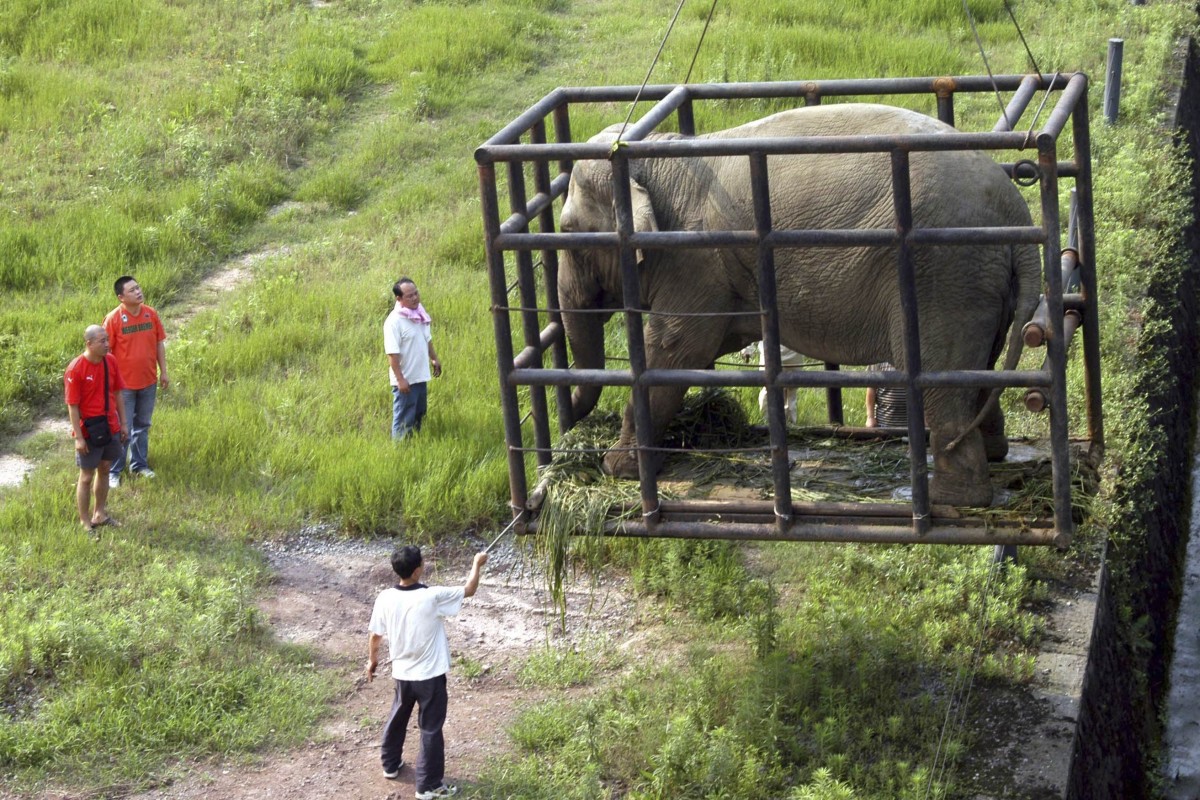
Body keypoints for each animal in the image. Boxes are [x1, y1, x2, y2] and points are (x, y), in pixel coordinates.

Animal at [557, 103, 1041, 507]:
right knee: (978, 371)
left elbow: (675, 351)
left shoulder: (695, 258)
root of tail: (1018, 214)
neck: (653, 154)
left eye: (568, 232)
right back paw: (994, 456)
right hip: (978, 280)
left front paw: (615, 468)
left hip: (943, 273)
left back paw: (953, 500)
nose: (571, 427)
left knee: (942, 380)